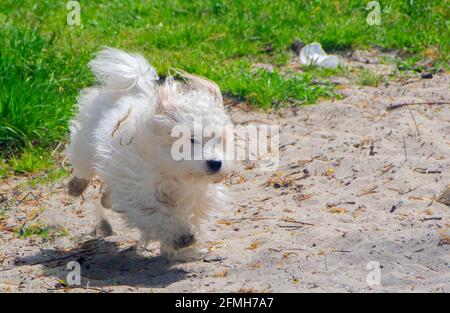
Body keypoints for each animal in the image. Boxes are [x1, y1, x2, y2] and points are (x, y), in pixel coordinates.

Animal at [67, 47, 232, 260]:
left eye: (219, 139)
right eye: (191, 139)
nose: (215, 163)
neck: (170, 168)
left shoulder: (194, 194)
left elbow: (189, 211)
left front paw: (183, 241)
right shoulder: (140, 192)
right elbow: (158, 215)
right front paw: (180, 237)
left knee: (108, 194)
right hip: (85, 145)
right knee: (83, 167)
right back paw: (76, 186)